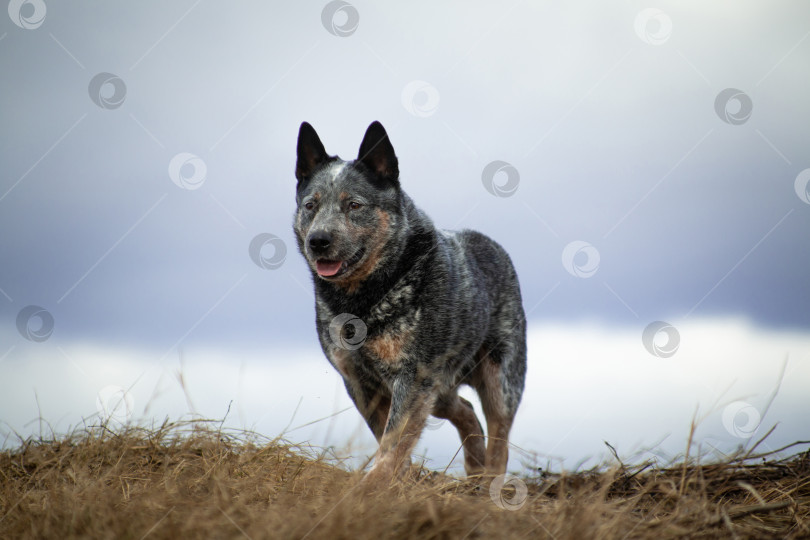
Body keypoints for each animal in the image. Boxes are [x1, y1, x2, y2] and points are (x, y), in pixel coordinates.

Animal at [294, 122, 528, 486]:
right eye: (310, 205)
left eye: (354, 205)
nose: (318, 240)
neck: (363, 298)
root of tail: (492, 246)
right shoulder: (360, 383)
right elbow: (387, 437)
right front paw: (398, 483)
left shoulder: (412, 378)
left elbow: (393, 441)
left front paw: (371, 486)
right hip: (439, 389)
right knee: (466, 410)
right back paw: (473, 468)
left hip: (498, 379)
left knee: (499, 439)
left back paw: (488, 485)